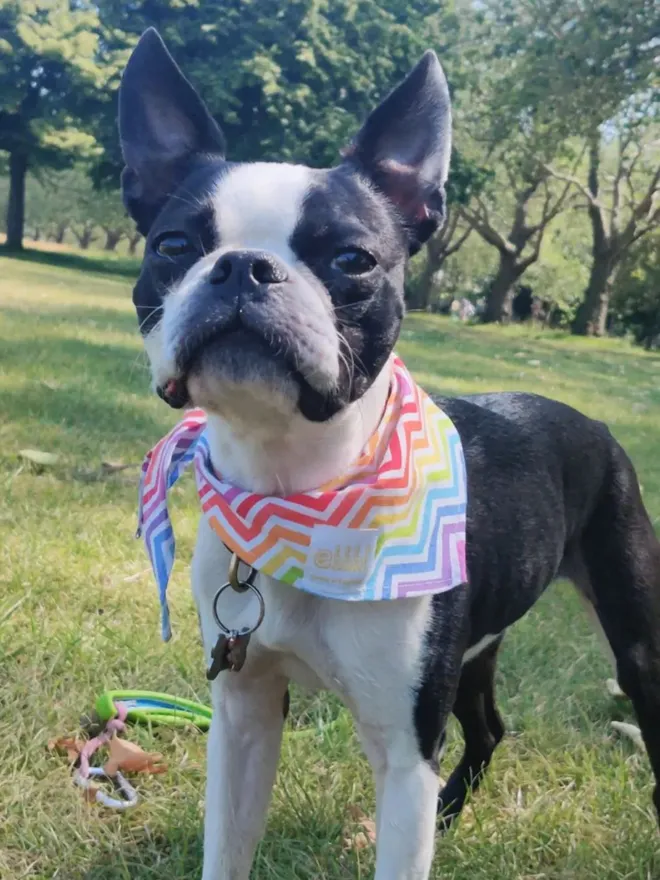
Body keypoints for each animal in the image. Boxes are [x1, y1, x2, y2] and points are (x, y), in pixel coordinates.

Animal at [118, 29, 660, 880]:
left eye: (353, 259)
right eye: (172, 246)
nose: (242, 265)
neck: (291, 487)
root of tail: (596, 424)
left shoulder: (404, 755)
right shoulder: (242, 713)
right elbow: (226, 849)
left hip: (634, 636)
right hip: (473, 653)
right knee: (489, 726)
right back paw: (454, 810)